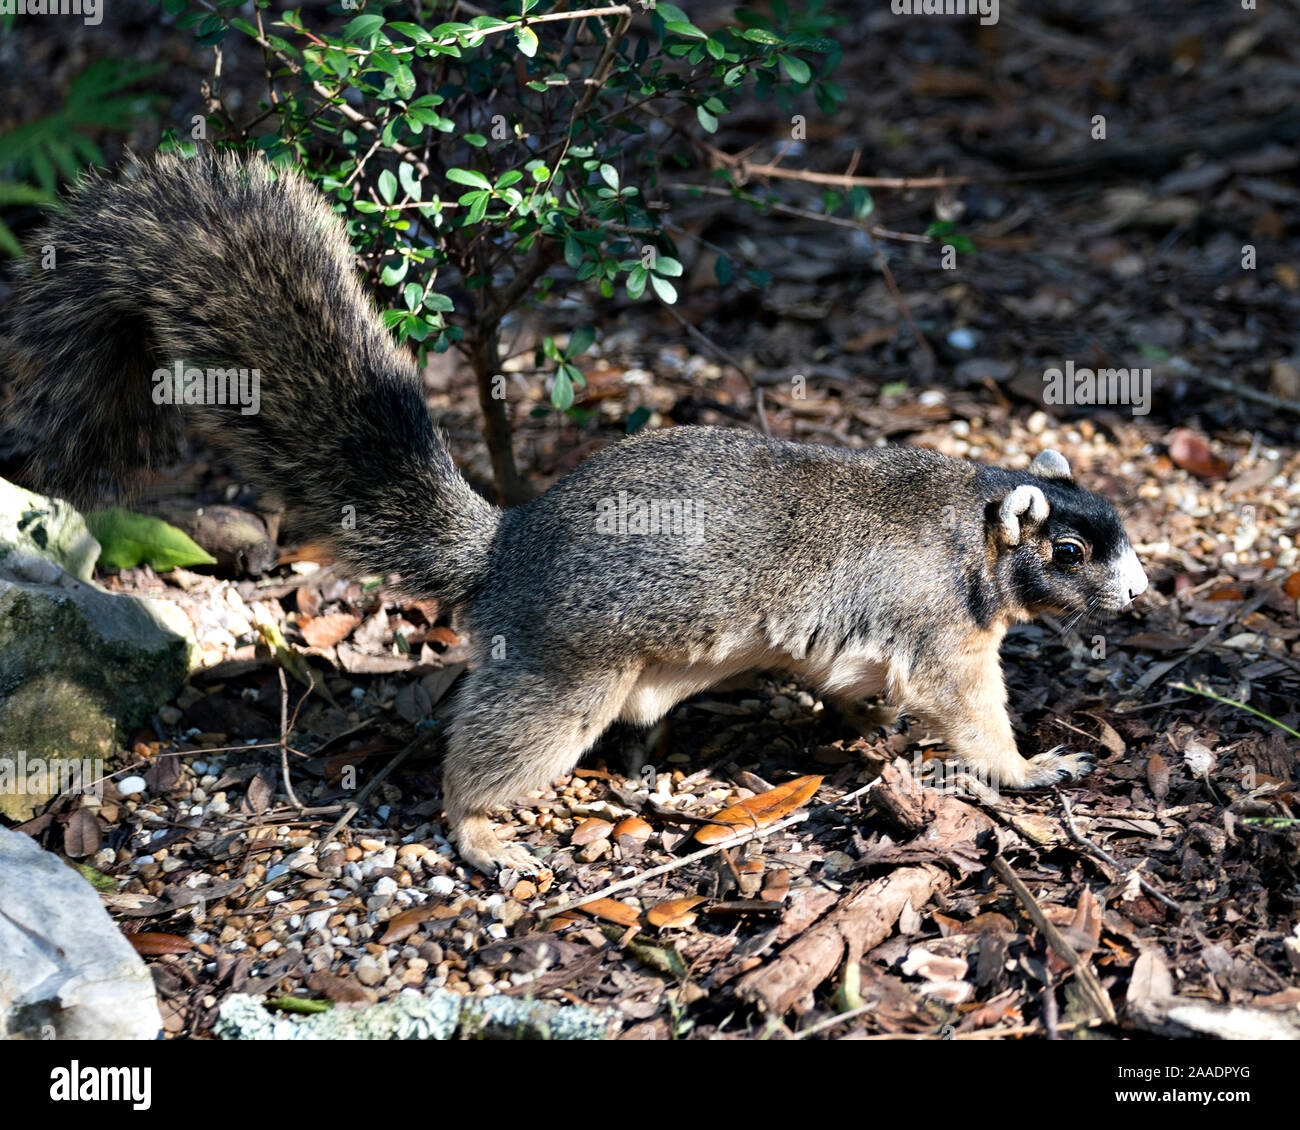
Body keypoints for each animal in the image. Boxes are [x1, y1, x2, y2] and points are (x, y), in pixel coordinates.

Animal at [7, 152, 1149, 873]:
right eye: (1068, 548)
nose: (1140, 598)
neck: (969, 529)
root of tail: (504, 547)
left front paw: (867, 728)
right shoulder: (941, 633)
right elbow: (972, 713)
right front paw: (1032, 764)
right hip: (564, 673)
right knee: (485, 756)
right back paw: (481, 833)